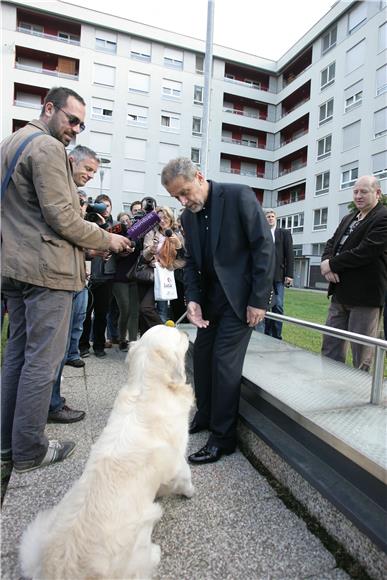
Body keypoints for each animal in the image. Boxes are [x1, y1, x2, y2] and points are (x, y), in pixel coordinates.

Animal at [19, 324, 194, 576]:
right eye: (177, 336)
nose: (187, 332)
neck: (146, 388)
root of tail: (56, 570)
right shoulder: (178, 461)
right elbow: (186, 478)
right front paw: (189, 493)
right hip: (142, 535)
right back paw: (155, 552)